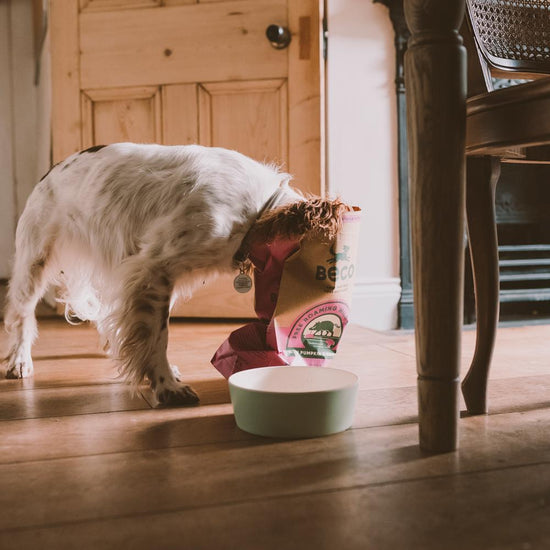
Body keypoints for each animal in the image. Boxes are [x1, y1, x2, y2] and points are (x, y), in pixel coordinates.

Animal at [3, 144, 350, 408]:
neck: (253, 212)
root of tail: (52, 170)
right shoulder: (153, 269)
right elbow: (159, 335)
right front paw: (166, 386)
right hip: (34, 261)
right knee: (22, 314)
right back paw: (19, 360)